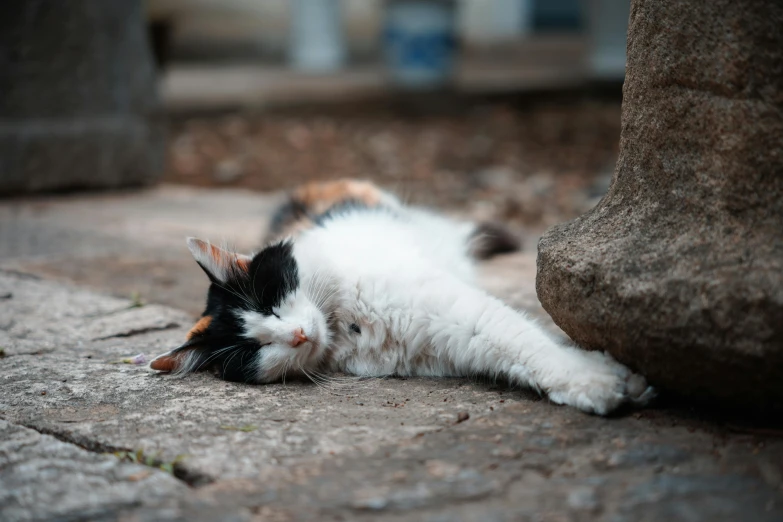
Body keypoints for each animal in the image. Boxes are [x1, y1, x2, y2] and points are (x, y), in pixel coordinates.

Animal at [152, 179, 656, 414]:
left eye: (270, 301)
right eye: (254, 350)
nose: (296, 335)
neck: (345, 323)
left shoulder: (456, 310)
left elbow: (524, 341)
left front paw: (595, 378)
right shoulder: (444, 348)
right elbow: (512, 356)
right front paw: (595, 383)